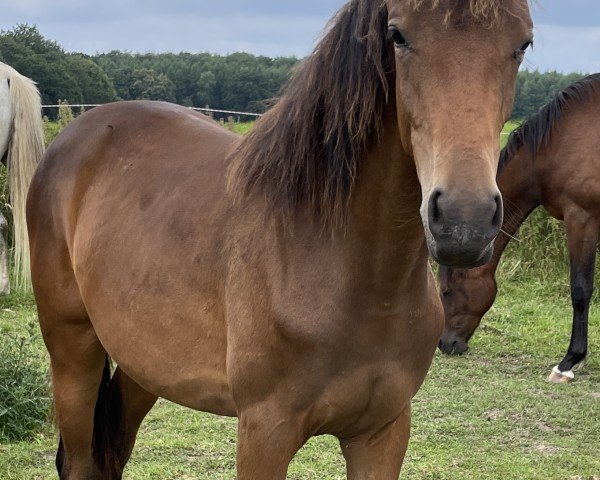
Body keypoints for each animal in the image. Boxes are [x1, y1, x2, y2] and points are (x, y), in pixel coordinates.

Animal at [28, 1, 532, 478]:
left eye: (523, 44)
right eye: (397, 35)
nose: (464, 220)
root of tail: (76, 135)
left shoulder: (382, 433)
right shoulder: (264, 433)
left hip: (144, 365)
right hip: (73, 354)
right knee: (79, 461)